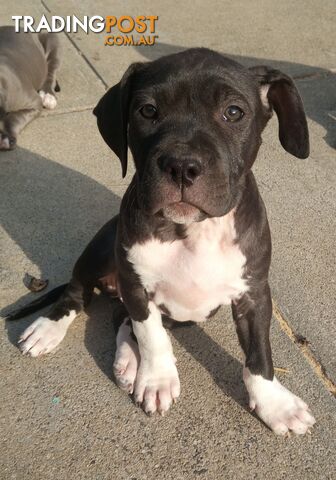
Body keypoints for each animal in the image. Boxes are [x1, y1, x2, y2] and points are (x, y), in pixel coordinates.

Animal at [10, 47, 316, 436]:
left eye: (234, 112)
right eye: (147, 111)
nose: (182, 166)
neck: (191, 231)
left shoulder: (254, 293)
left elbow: (259, 353)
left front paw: (275, 403)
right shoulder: (136, 285)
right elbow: (151, 335)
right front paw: (157, 380)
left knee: (120, 316)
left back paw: (128, 360)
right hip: (102, 246)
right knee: (80, 292)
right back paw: (51, 329)